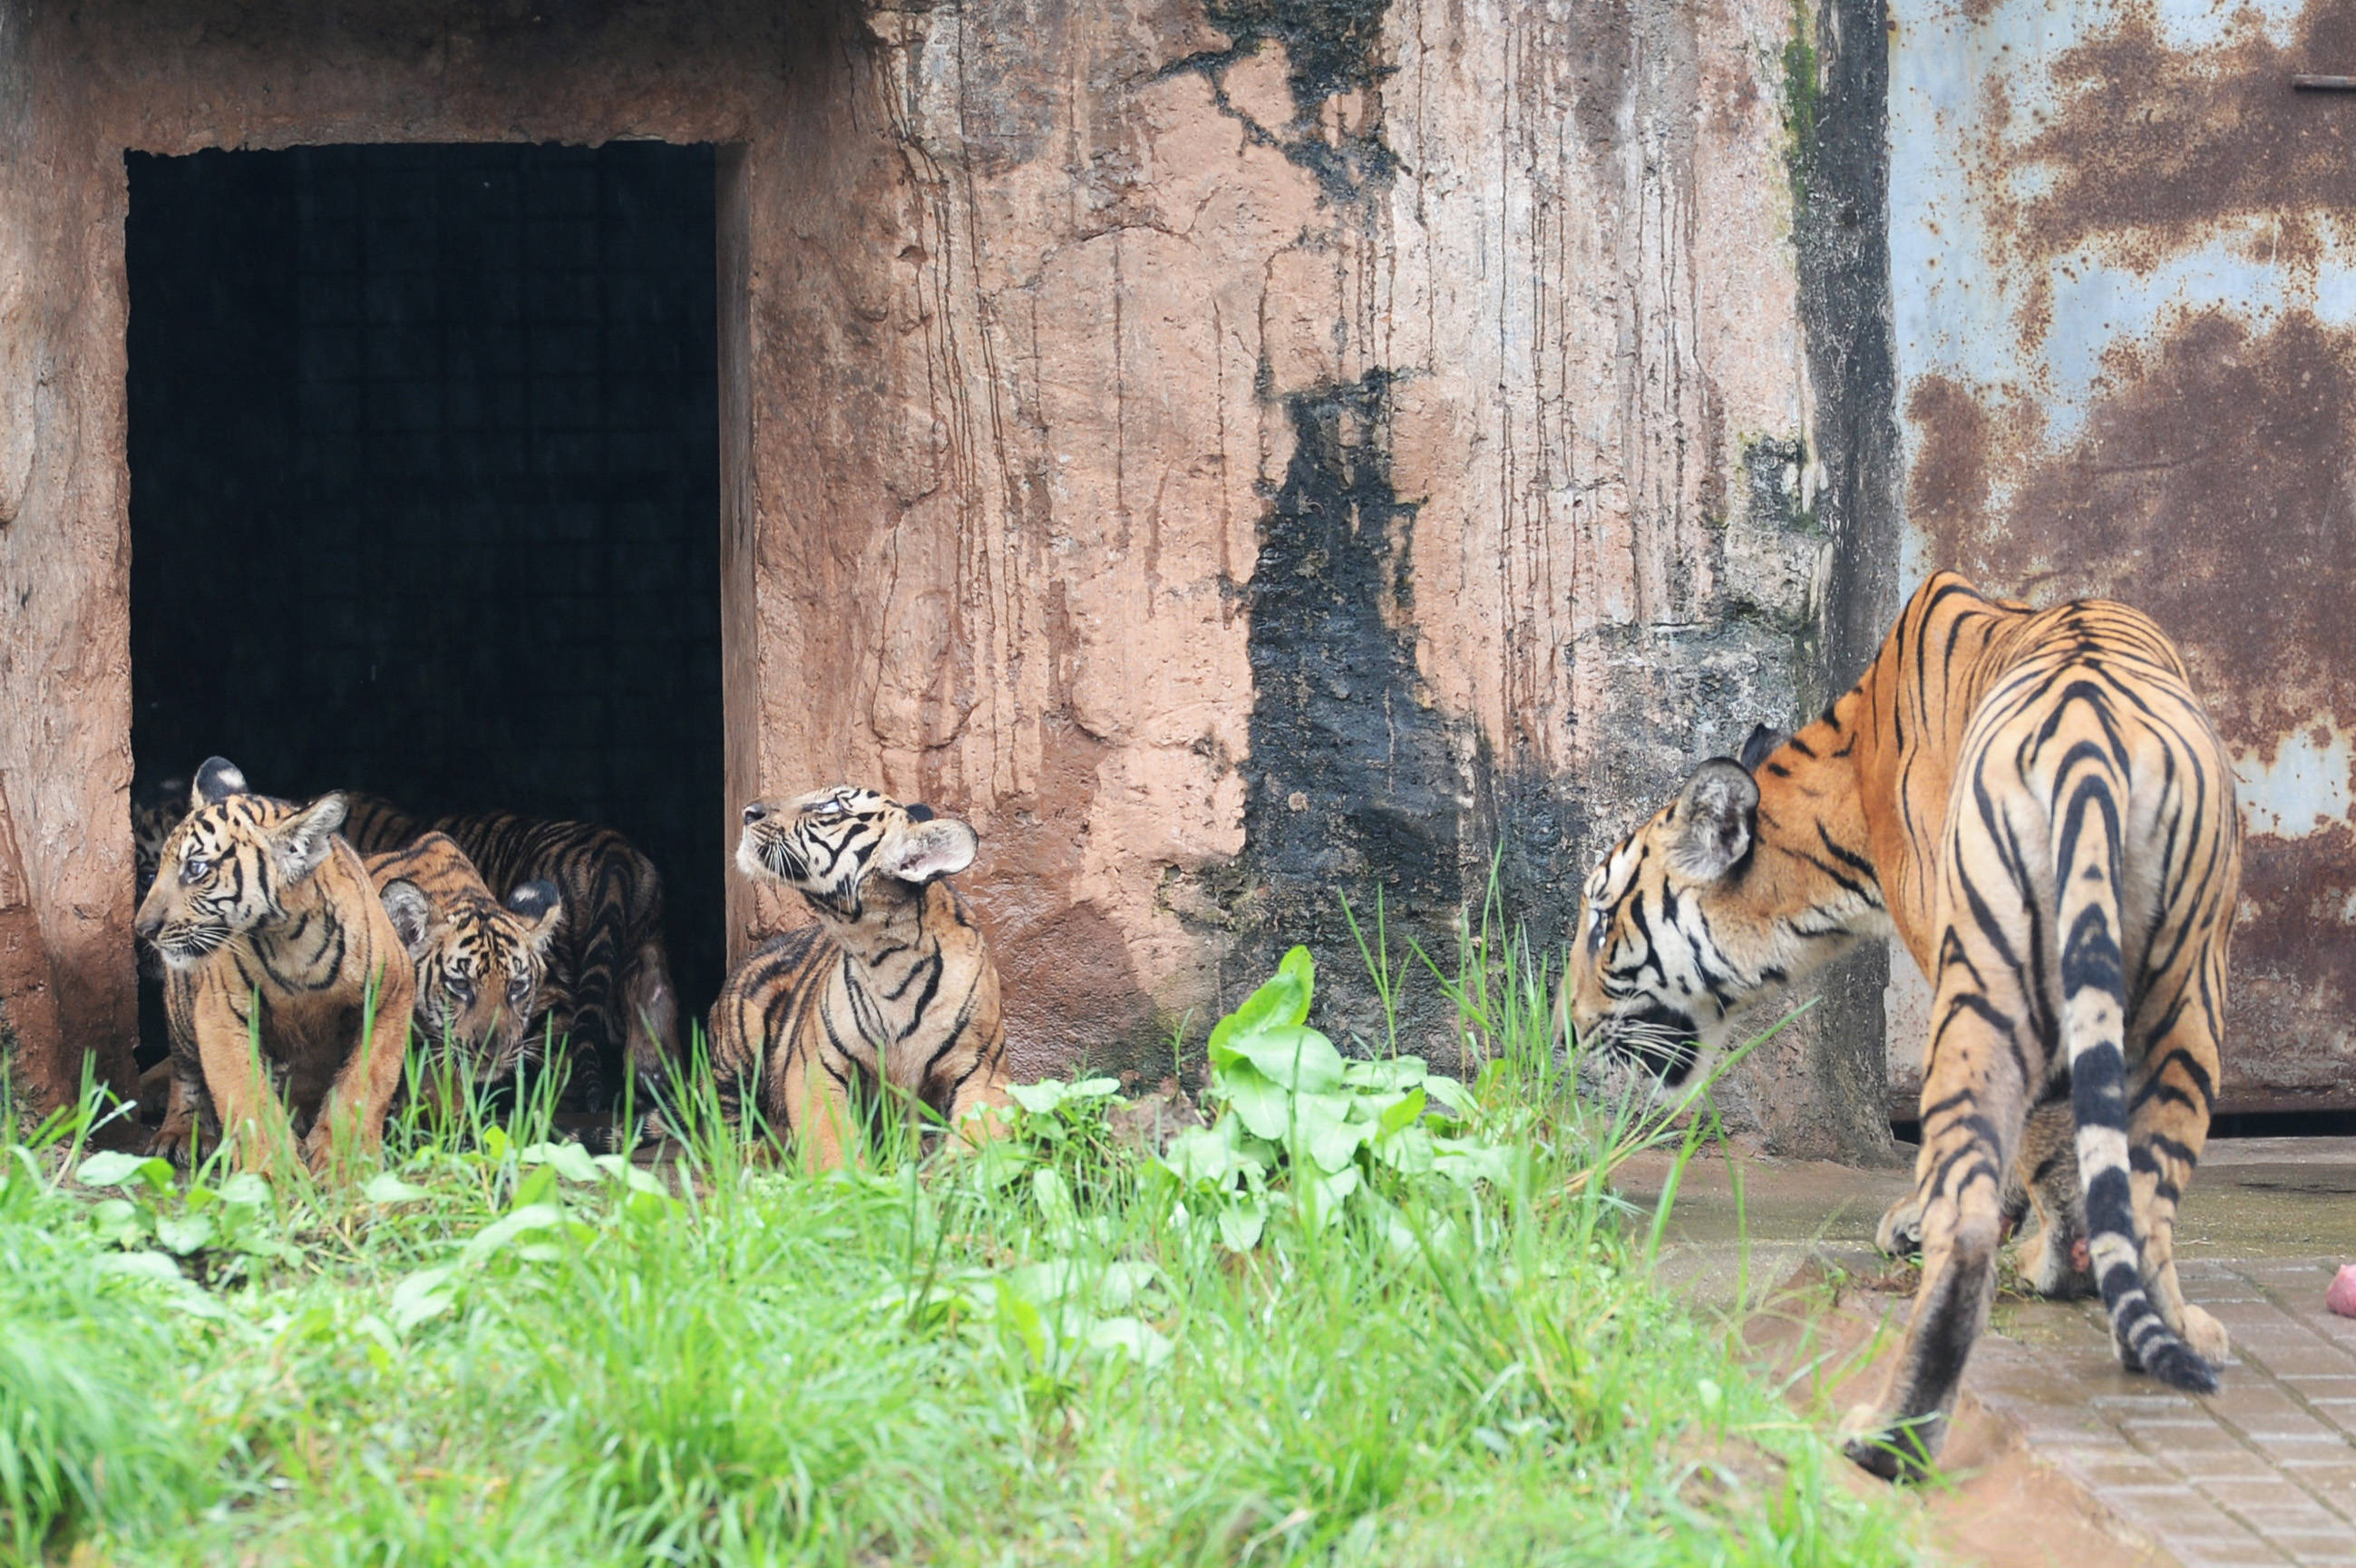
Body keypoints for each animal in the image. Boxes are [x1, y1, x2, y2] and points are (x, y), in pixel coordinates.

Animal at [130, 753, 414, 1172]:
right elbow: (246, 1097)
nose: (143, 928)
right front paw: (272, 1171)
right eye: (158, 869)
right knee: (185, 1070)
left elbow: (366, 1082)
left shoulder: (391, 991)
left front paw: (341, 1163)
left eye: (195, 869)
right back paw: (181, 1132)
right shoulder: (220, 1014)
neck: (289, 940)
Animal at [716, 786, 1013, 1167]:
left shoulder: (982, 1071)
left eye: (832, 805)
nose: (748, 812)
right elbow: (830, 1143)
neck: (883, 959)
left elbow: (978, 1149)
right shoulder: (816, 1068)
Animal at [1554, 567, 2233, 1468]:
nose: (1562, 1024)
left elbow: (2031, 1148)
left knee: (1970, 1212)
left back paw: (1888, 1436)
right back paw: (2170, 1331)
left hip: (1984, 985)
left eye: (1601, 922)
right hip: (2187, 995)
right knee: (2151, 1197)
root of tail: (2091, 754)